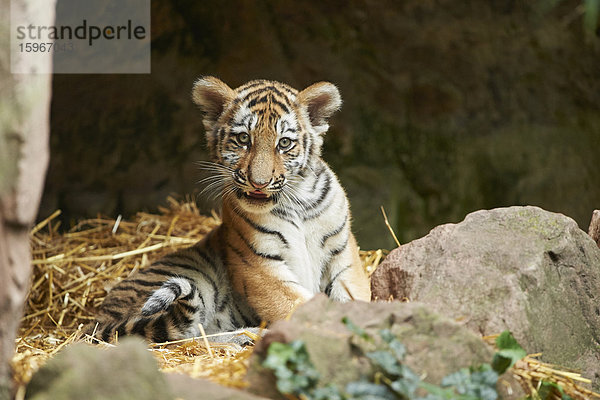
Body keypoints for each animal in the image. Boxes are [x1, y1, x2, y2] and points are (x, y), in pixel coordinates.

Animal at [85, 77, 370, 344]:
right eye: (243, 139)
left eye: (284, 143)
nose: (259, 182)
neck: (296, 201)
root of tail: (97, 320)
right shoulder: (260, 265)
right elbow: (297, 305)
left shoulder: (343, 255)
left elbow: (354, 297)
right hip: (191, 278)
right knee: (182, 336)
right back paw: (246, 336)